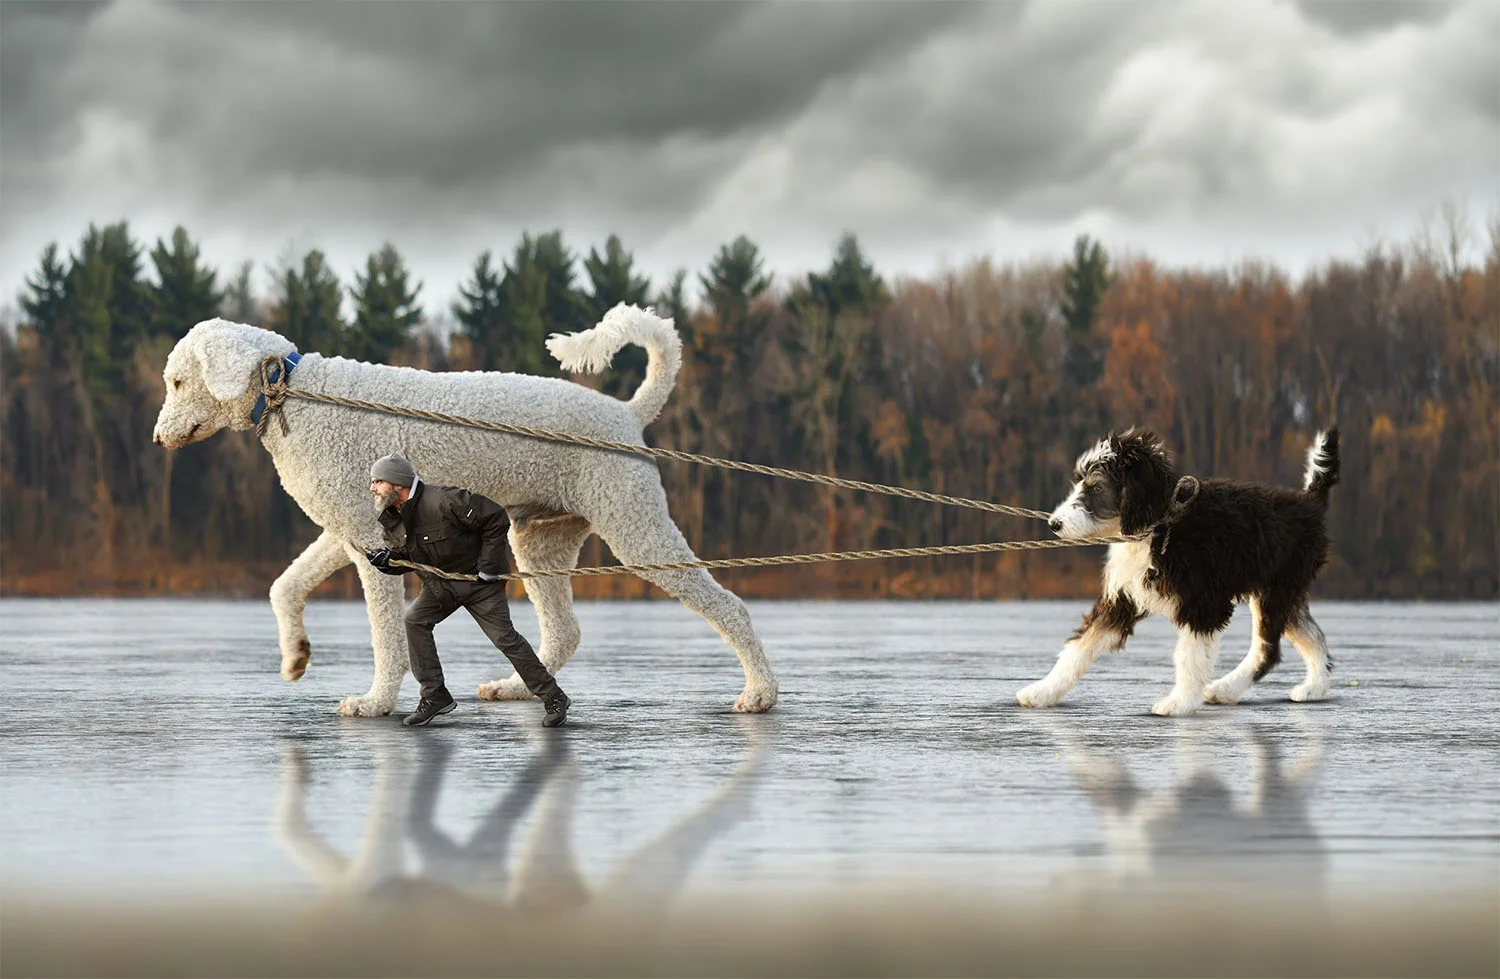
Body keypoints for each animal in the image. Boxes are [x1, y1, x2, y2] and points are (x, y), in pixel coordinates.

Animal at [152, 305, 780, 716]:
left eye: (178, 381)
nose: (157, 438)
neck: (295, 392)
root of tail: (627, 414)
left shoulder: (368, 541)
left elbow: (385, 635)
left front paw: (376, 702)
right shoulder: (351, 531)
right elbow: (284, 585)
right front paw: (295, 657)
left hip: (635, 527)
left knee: (730, 607)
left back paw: (760, 693)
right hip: (540, 543)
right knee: (565, 632)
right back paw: (517, 689)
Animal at [1020, 431, 1338, 713]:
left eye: (1096, 488)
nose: (1054, 524)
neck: (1160, 526)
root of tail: (1309, 502)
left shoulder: (1203, 605)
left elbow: (1190, 657)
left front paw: (1179, 704)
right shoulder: (1120, 600)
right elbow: (1080, 647)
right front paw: (1041, 692)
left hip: (1275, 591)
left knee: (1267, 649)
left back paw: (1226, 689)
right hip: (1284, 591)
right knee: (1312, 634)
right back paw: (1314, 688)